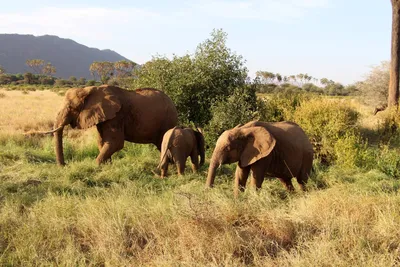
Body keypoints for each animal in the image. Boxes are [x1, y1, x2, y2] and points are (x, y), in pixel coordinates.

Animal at [38, 85, 177, 165]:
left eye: (71, 108)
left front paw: (97, 166)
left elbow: (115, 142)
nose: (65, 165)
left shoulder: (117, 115)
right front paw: (107, 166)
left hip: (168, 119)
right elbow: (102, 142)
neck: (90, 90)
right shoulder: (103, 116)